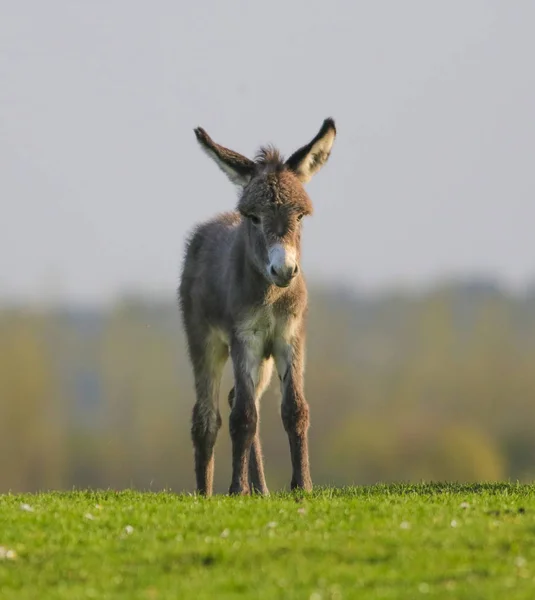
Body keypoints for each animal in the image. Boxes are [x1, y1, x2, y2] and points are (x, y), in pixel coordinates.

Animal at [182, 118, 338, 496]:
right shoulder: (245, 338)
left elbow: (294, 409)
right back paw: (205, 492)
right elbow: (243, 417)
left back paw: (261, 489)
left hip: (263, 361)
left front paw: (302, 486)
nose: (283, 270)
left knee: (238, 397)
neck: (271, 297)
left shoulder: (289, 338)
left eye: (300, 216)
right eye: (253, 217)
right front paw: (236, 490)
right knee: (207, 416)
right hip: (204, 341)